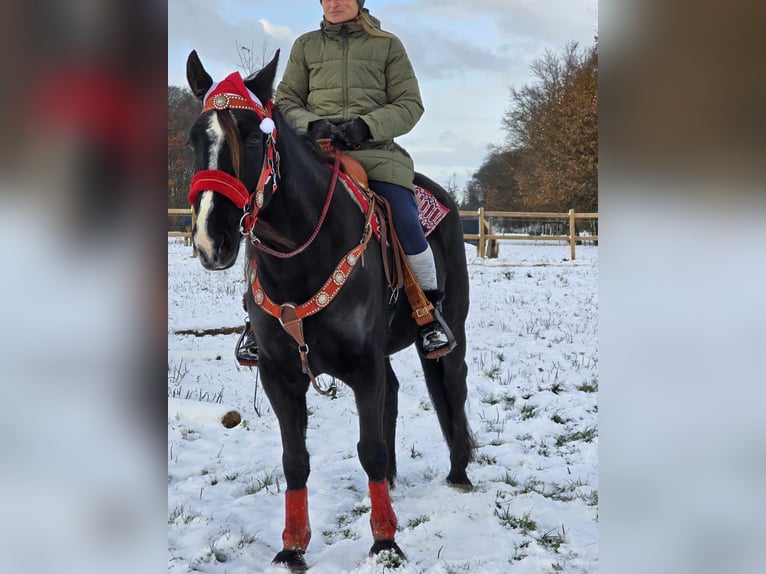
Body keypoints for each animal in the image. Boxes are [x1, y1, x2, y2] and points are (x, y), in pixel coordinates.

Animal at [186, 51, 474, 572]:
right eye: (195, 138)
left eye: (254, 137)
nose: (210, 239)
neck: (302, 254)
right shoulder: (280, 374)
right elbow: (294, 460)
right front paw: (292, 547)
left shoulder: (363, 365)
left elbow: (370, 448)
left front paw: (385, 542)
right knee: (394, 395)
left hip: (448, 333)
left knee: (452, 387)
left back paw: (459, 471)